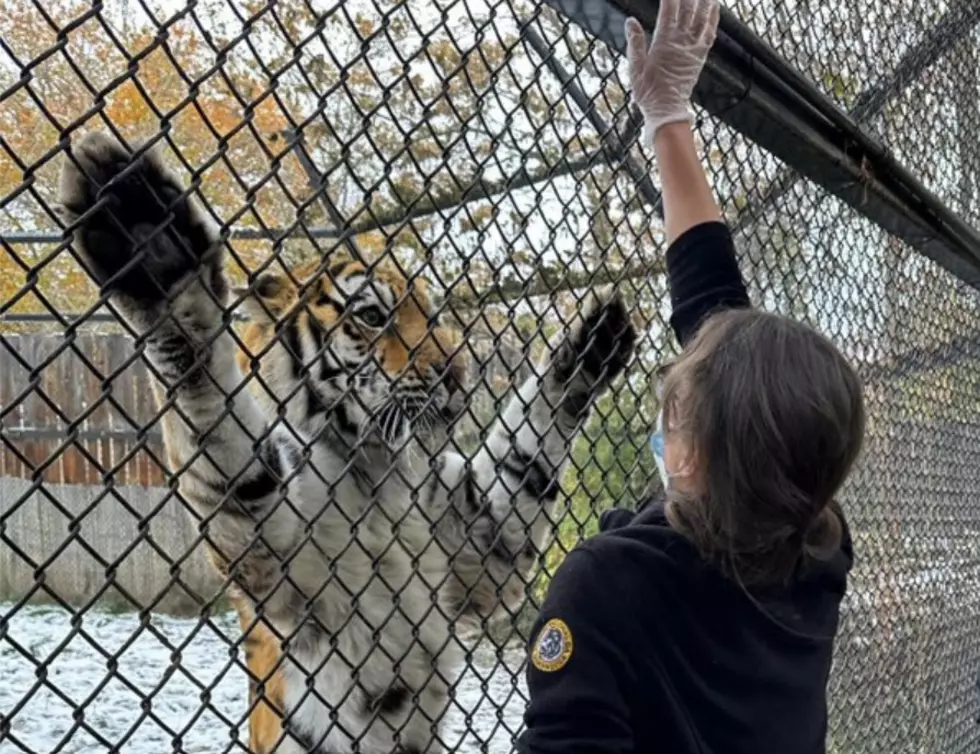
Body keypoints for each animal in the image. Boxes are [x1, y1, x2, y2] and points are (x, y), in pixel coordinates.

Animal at [57, 131, 636, 752]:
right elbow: (213, 405)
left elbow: (524, 453)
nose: (459, 372)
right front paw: (151, 249)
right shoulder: (266, 542)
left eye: (431, 311)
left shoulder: (484, 544)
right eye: (374, 316)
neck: (374, 461)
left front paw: (589, 348)